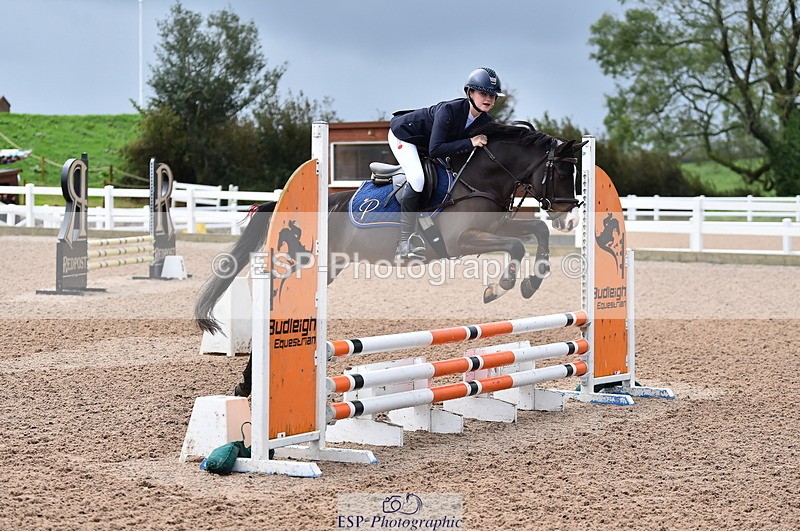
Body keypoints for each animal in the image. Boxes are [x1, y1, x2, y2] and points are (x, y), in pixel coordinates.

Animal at [196, 121, 586, 342]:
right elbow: (516, 247)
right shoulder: (460, 241)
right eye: (561, 172)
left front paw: (532, 282)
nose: (569, 220)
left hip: (330, 266)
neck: (480, 179)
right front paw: (498, 287)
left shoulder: (499, 225)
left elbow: (537, 230)